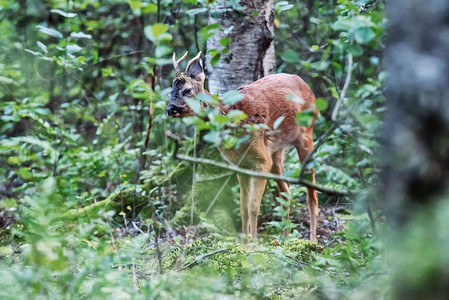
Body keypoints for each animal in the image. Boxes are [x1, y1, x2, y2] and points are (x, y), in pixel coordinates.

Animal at [165, 51, 318, 244]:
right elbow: (243, 207)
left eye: (187, 90)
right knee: (286, 193)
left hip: (306, 137)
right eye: (171, 91)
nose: (170, 109)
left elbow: (253, 206)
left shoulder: (261, 161)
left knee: (312, 195)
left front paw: (253, 246)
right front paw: (244, 244)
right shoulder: (240, 164)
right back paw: (284, 241)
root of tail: (307, 87)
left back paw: (313, 242)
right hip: (276, 152)